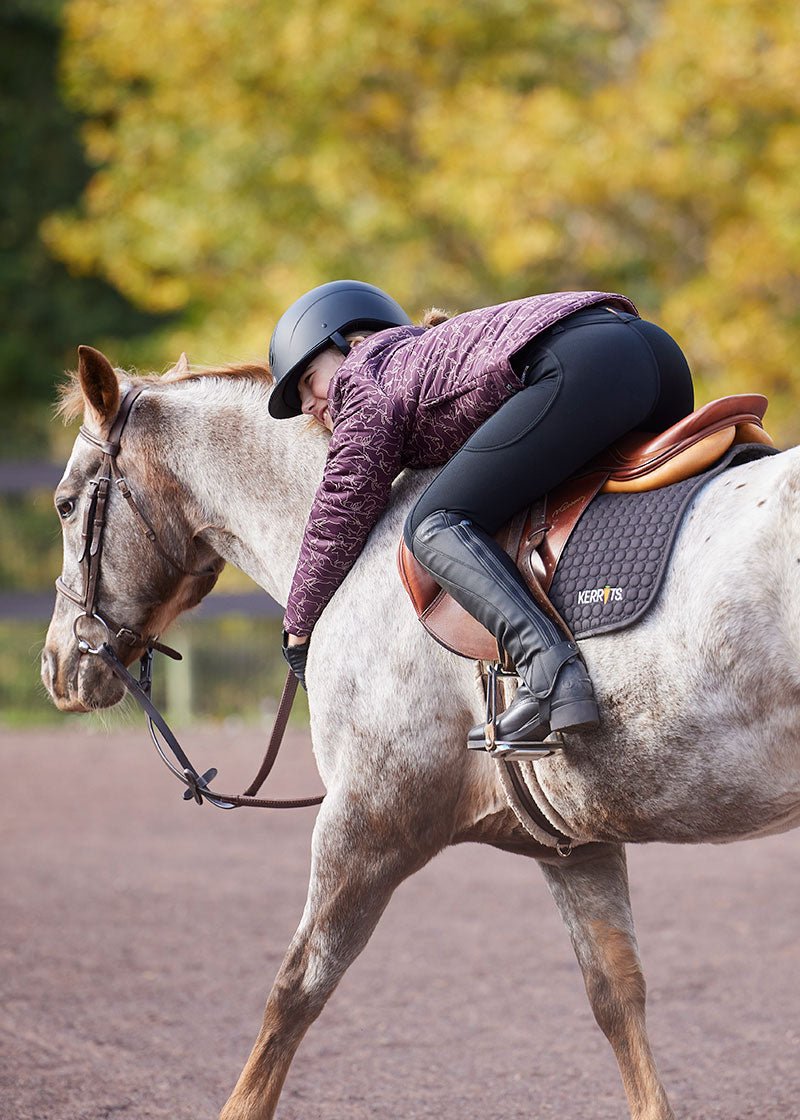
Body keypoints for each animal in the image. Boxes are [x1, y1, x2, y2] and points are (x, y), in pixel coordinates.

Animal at [42, 347, 797, 1120]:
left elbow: (295, 990)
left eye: (66, 504)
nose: (57, 668)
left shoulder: (369, 821)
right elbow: (617, 994)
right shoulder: (575, 845)